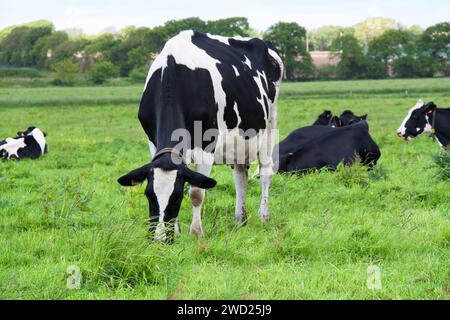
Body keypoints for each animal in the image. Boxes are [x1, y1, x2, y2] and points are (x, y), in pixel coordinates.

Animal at [118, 30, 284, 242]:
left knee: (265, 173)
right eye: (148, 195)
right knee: (240, 176)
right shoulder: (153, 143)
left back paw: (263, 217)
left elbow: (197, 192)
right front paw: (177, 231)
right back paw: (240, 219)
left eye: (177, 197)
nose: (160, 239)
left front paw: (196, 232)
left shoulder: (206, 145)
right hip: (239, 142)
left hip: (270, 127)